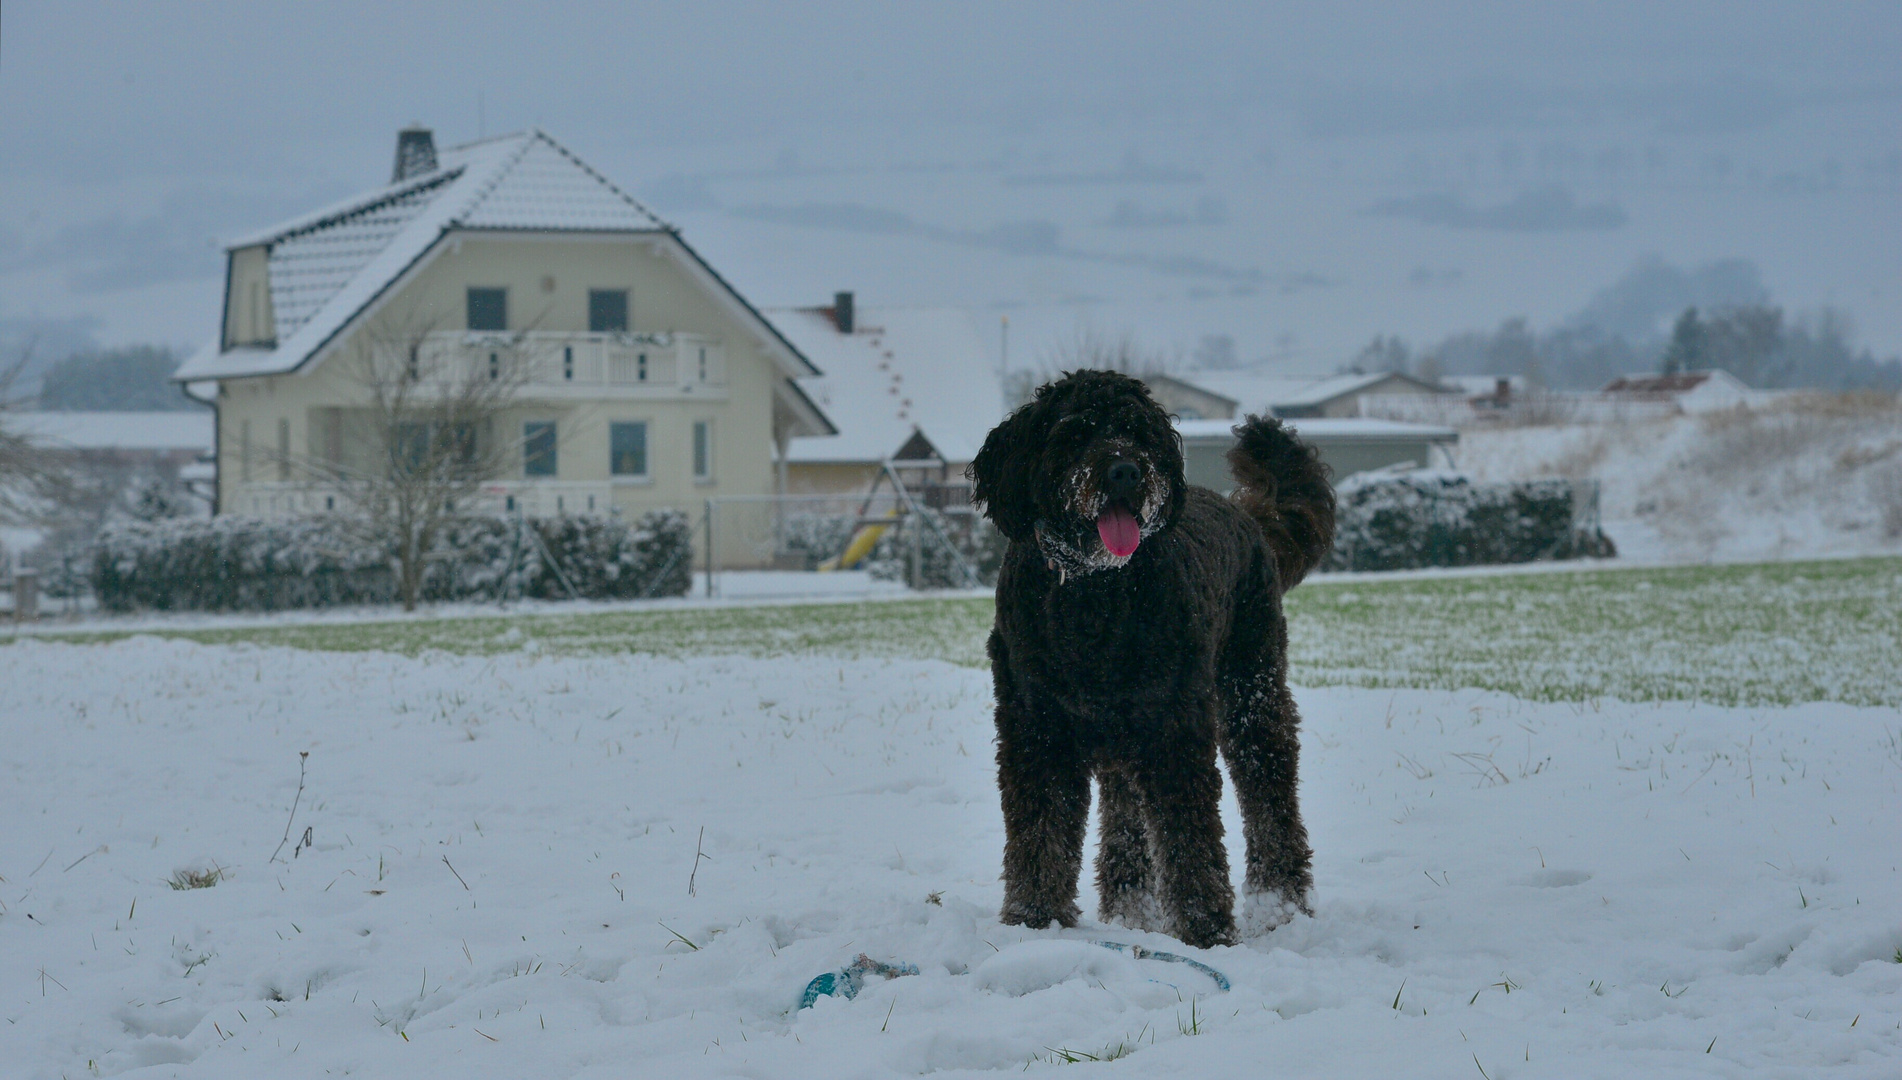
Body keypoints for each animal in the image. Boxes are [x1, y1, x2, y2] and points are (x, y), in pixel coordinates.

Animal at [966, 368, 1339, 943]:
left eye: (1139, 432)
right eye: (1075, 432)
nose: (1125, 471)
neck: (1094, 594)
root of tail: (1244, 514)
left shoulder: (1174, 728)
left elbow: (1189, 836)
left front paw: (1205, 931)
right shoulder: (1037, 729)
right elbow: (1041, 831)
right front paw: (1034, 922)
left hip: (1249, 694)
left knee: (1269, 790)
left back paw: (1280, 904)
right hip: (1126, 735)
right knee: (1127, 814)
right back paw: (1132, 913)